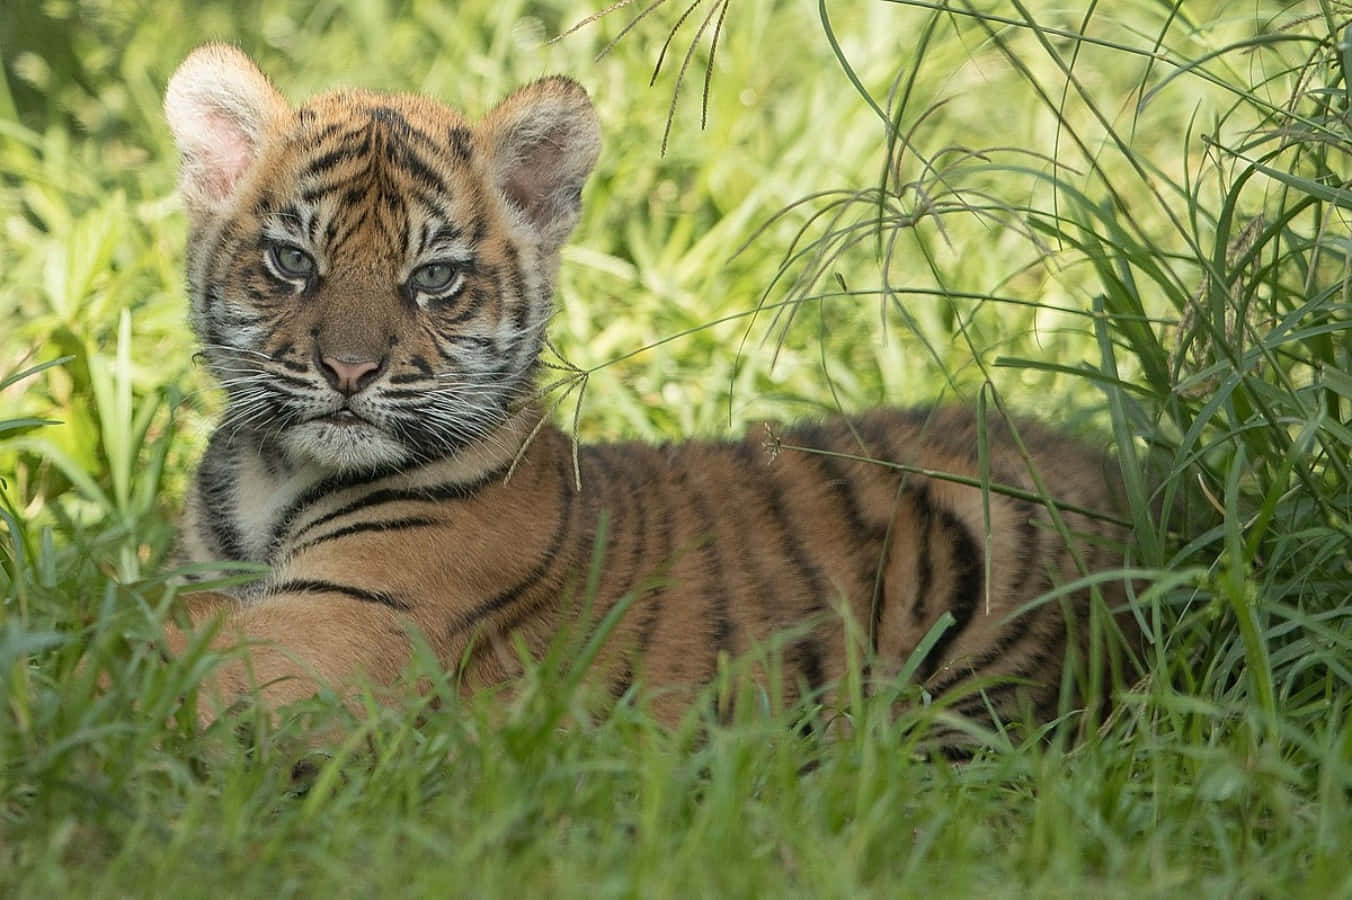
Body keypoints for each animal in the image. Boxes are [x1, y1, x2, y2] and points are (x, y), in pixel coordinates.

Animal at [160, 44, 1138, 742]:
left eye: (435, 278)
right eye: (294, 262)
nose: (350, 371)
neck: (271, 480)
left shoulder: (335, 635)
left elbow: (142, 648)